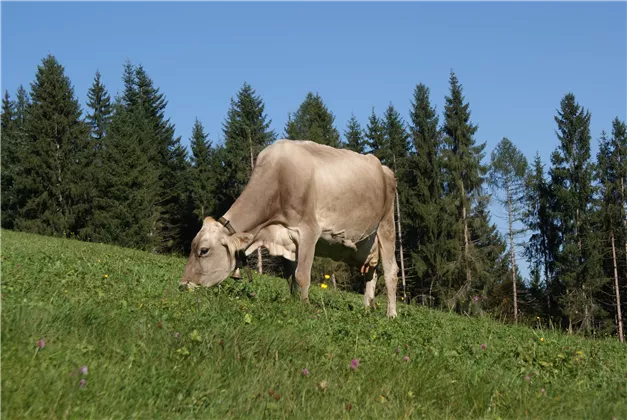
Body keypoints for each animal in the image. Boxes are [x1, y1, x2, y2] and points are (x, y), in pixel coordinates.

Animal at [179, 139, 400, 316]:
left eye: (203, 250)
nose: (182, 285)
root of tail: (385, 168)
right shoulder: (285, 240)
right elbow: (290, 278)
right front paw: (293, 302)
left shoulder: (309, 230)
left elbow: (302, 275)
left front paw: (305, 307)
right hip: (367, 244)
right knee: (371, 272)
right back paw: (366, 309)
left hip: (386, 224)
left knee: (391, 271)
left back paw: (391, 315)